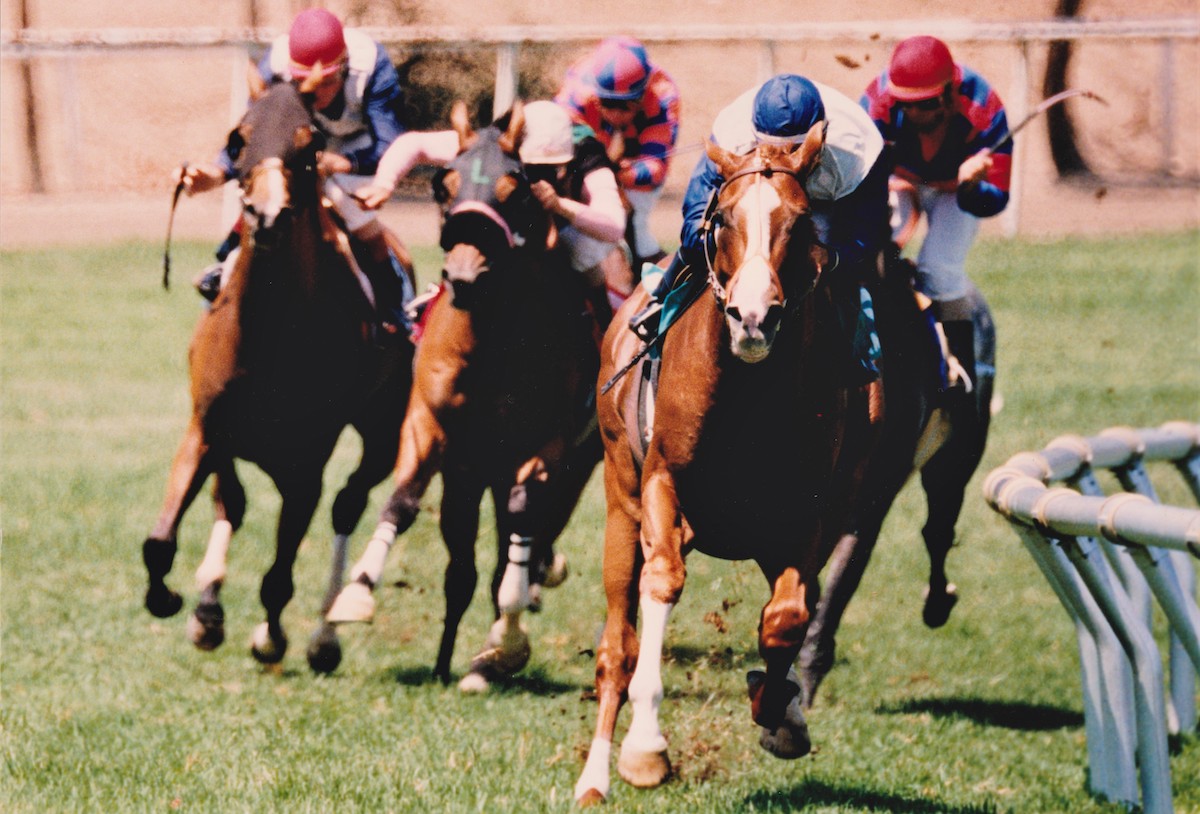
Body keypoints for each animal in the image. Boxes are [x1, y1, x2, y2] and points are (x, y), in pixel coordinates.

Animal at [139, 78, 412, 677]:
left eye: (311, 148)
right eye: (237, 140)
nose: (265, 214)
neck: (270, 334)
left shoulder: (308, 459)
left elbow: (279, 573)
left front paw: (270, 638)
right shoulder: (207, 428)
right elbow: (165, 538)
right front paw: (177, 600)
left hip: (381, 431)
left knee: (348, 504)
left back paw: (324, 635)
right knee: (234, 504)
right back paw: (210, 610)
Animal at [326, 100, 600, 686]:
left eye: (515, 190)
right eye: (445, 184)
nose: (463, 274)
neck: (489, 345)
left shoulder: (546, 446)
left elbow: (522, 522)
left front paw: (508, 637)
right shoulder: (430, 427)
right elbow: (404, 499)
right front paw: (357, 593)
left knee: (517, 545)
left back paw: (489, 653)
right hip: (469, 478)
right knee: (463, 571)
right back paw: (446, 660)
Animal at [566, 130, 878, 806]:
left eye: (799, 221)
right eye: (724, 220)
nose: (754, 317)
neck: (746, 390)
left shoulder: (804, 515)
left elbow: (787, 620)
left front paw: (779, 711)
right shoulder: (662, 484)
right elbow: (663, 584)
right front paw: (645, 749)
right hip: (622, 506)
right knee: (616, 646)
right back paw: (595, 776)